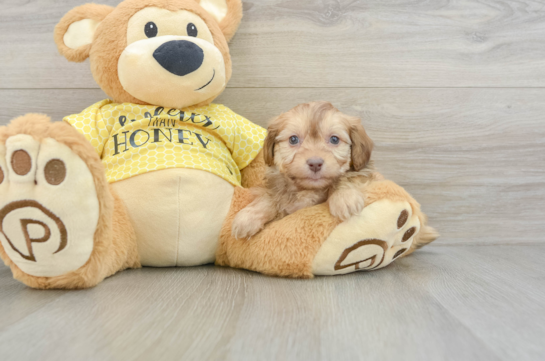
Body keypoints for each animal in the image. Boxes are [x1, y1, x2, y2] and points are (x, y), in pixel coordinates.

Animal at [231, 100, 378, 239]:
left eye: (334, 139)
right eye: (293, 139)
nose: (315, 163)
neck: (307, 189)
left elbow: (346, 177)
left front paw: (344, 197)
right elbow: (270, 196)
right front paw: (248, 217)